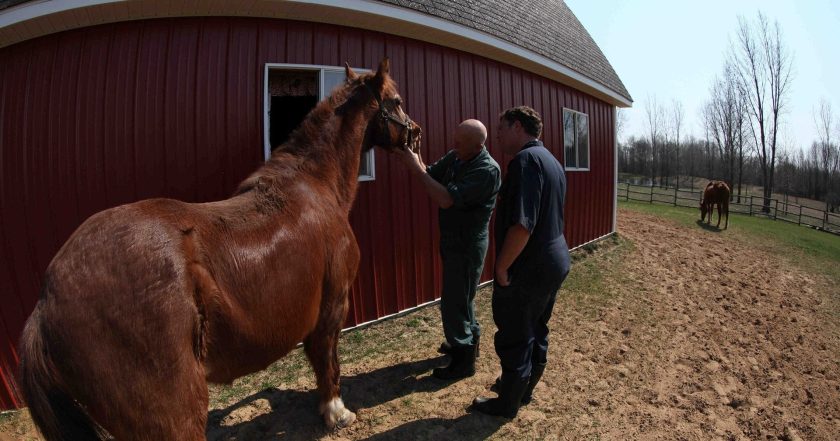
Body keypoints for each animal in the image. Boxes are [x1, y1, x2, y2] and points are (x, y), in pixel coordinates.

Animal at [15, 58, 416, 440]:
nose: (417, 133)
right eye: (396, 100)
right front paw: (336, 413)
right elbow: (326, 359)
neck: (313, 185)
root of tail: (45, 305)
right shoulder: (333, 305)